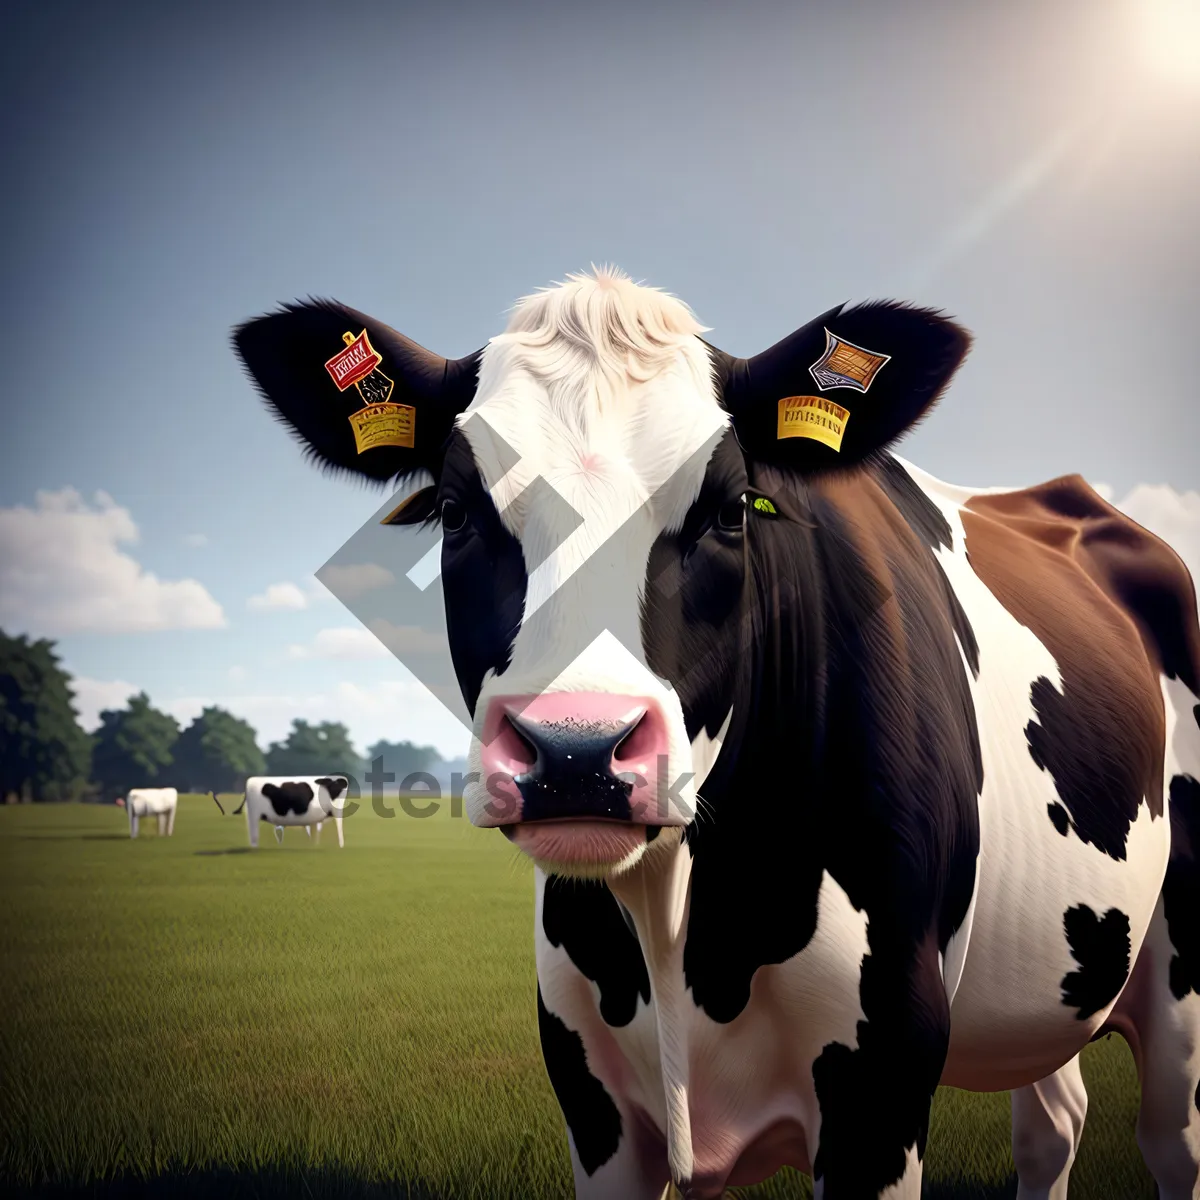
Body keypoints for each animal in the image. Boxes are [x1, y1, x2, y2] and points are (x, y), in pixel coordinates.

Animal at [234, 272, 1200, 1200]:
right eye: (456, 511)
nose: (576, 752)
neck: (677, 923)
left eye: (733, 510)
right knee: (1053, 1126)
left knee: (1169, 1141)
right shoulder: (589, 1092)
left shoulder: (884, 1074)